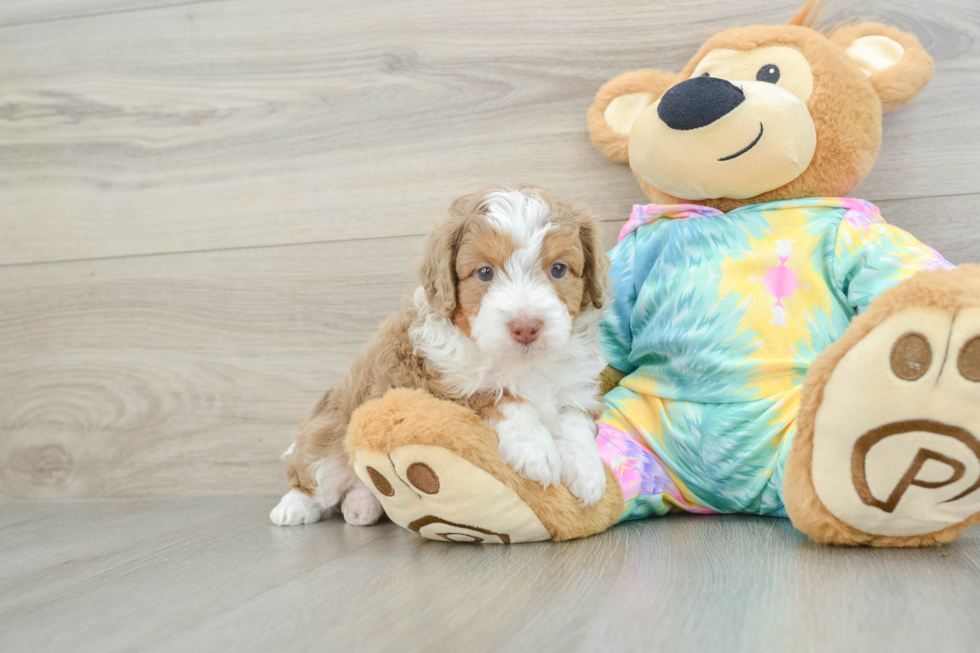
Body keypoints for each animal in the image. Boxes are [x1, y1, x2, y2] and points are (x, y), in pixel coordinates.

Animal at [272, 182, 608, 524]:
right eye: (484, 273)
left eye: (558, 269)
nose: (526, 327)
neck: (522, 363)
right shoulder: (437, 381)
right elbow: (498, 394)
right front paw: (535, 449)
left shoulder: (575, 385)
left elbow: (574, 417)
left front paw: (587, 470)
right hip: (327, 440)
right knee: (313, 477)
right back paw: (292, 508)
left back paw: (361, 505)